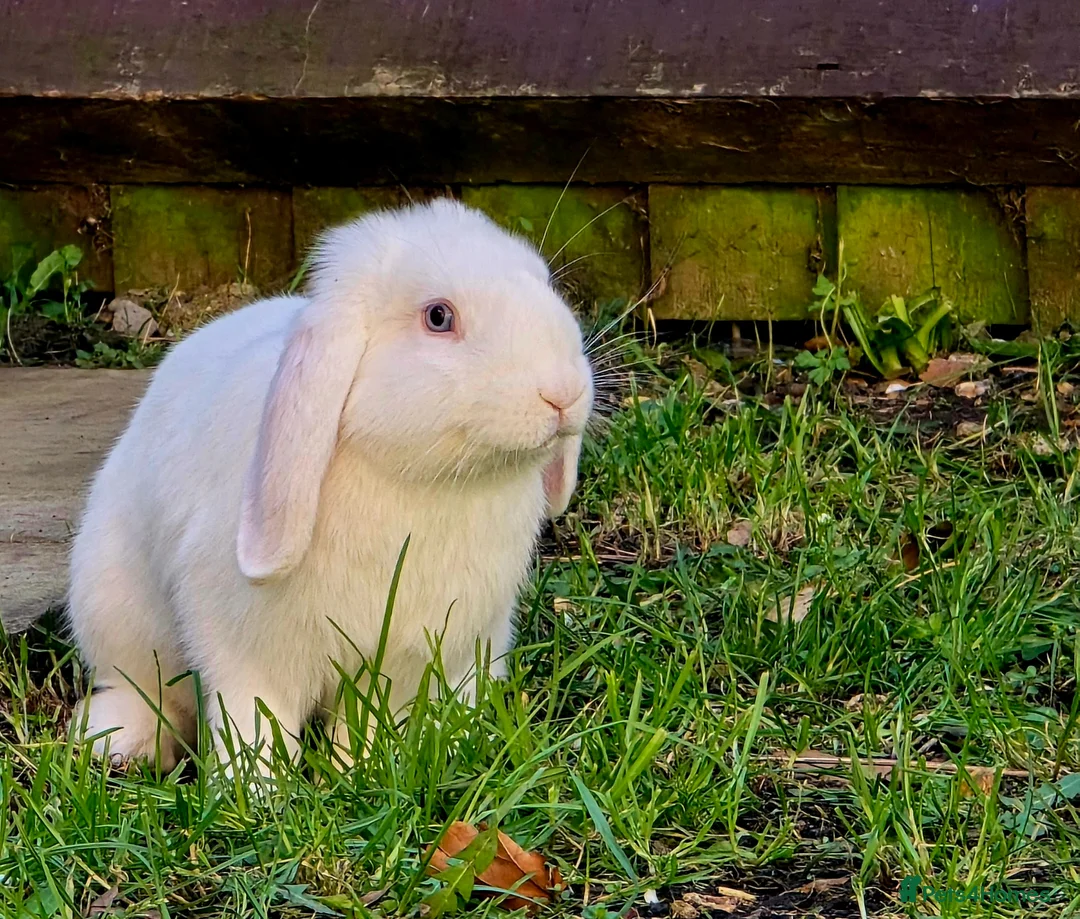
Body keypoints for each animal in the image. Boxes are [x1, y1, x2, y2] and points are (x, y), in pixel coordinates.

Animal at [66, 197, 594, 774]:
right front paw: (259, 788)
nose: (563, 393)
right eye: (439, 317)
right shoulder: (244, 650)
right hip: (112, 609)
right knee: (143, 687)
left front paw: (365, 769)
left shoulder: (408, 660)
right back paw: (118, 740)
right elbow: (253, 720)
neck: (421, 482)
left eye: (543, 283)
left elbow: (370, 722)